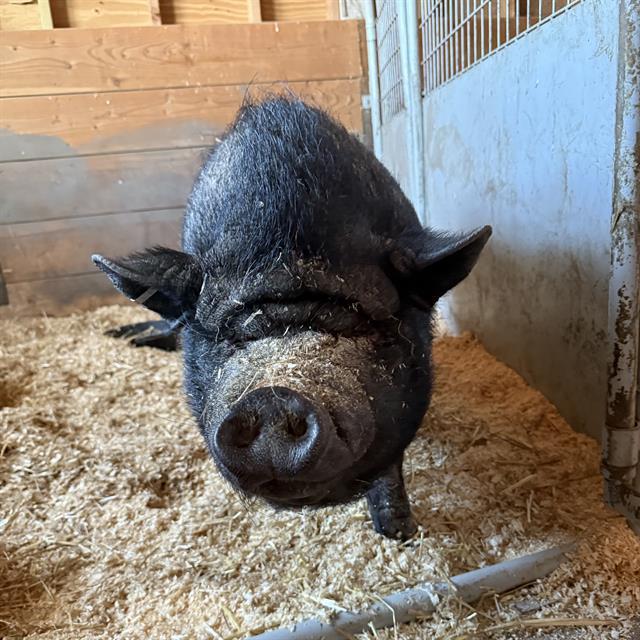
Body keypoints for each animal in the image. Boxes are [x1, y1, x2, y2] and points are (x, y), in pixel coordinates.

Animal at [93, 97, 491, 540]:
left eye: (362, 323)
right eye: (229, 333)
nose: (273, 397)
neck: (288, 242)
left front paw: (399, 533)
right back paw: (119, 335)